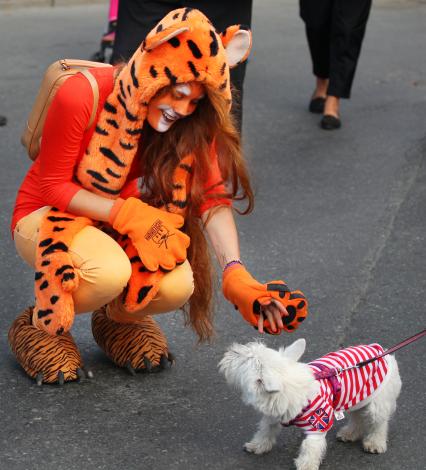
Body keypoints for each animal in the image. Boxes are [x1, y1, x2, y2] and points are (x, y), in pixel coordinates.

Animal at [220, 338, 402, 470]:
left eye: (245, 359)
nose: (231, 349)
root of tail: (383, 352)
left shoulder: (318, 425)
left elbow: (310, 447)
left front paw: (306, 465)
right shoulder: (273, 416)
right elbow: (265, 430)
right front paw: (258, 446)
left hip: (377, 403)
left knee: (379, 423)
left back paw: (375, 443)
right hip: (357, 397)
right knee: (357, 417)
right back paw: (349, 433)